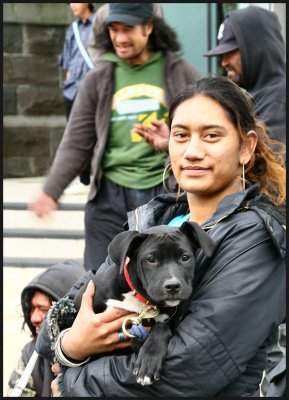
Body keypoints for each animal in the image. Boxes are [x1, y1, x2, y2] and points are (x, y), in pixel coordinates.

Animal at [73, 223, 215, 386]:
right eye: (151, 259)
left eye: (185, 257)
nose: (173, 286)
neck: (142, 300)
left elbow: (161, 327)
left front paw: (149, 359)